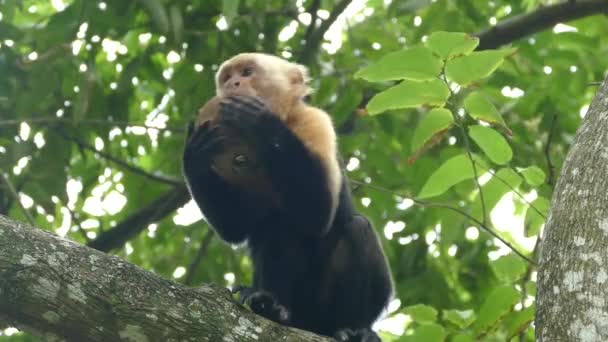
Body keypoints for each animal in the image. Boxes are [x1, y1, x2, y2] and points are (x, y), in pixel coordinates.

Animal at [183, 52, 392, 340]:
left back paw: (353, 328)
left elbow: (317, 212)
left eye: (246, 73)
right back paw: (271, 306)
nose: (234, 84)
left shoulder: (315, 122)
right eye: (227, 78)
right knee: (277, 226)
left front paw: (260, 121)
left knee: (355, 229)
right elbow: (235, 228)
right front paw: (195, 153)